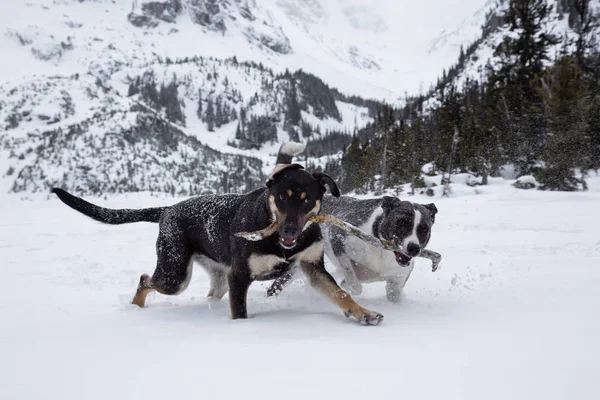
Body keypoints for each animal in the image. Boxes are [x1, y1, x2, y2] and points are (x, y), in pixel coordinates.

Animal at [49, 144, 382, 324]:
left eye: (306, 199)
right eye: (281, 197)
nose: (289, 229)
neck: (277, 238)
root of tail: (168, 209)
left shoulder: (312, 267)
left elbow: (341, 294)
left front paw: (363, 312)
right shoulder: (240, 276)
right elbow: (241, 313)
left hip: (218, 277)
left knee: (211, 293)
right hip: (175, 275)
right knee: (145, 280)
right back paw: (136, 307)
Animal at [270, 145, 438, 302]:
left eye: (424, 229)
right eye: (401, 222)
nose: (413, 248)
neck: (382, 251)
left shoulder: (396, 281)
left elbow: (393, 295)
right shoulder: (339, 241)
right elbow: (354, 282)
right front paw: (348, 285)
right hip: (297, 266)